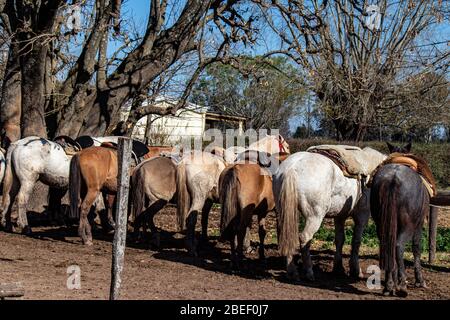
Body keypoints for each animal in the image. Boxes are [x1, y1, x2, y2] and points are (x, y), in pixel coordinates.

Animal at [272, 146, 384, 282]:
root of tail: (291, 168)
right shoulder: (362, 216)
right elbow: (356, 241)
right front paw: (355, 271)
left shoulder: (340, 216)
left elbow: (340, 239)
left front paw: (339, 268)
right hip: (314, 217)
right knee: (304, 238)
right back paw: (309, 272)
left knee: (287, 237)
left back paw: (291, 272)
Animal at [370, 142, 430, 298]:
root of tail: (393, 178)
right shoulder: (418, 226)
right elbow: (416, 248)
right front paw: (419, 280)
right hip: (407, 226)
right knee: (398, 246)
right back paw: (402, 286)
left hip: (381, 224)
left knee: (387, 247)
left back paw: (389, 285)